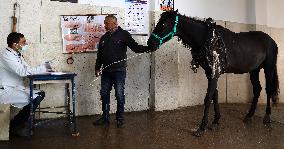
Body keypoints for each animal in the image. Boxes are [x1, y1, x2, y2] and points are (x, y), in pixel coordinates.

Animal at [148, 9, 278, 137]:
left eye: (163, 24)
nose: (150, 43)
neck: (209, 40)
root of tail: (272, 41)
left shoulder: (214, 73)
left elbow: (208, 98)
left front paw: (202, 127)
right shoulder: (210, 73)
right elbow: (214, 96)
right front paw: (216, 121)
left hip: (269, 68)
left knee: (268, 90)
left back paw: (267, 117)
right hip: (254, 70)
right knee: (257, 89)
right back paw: (249, 116)